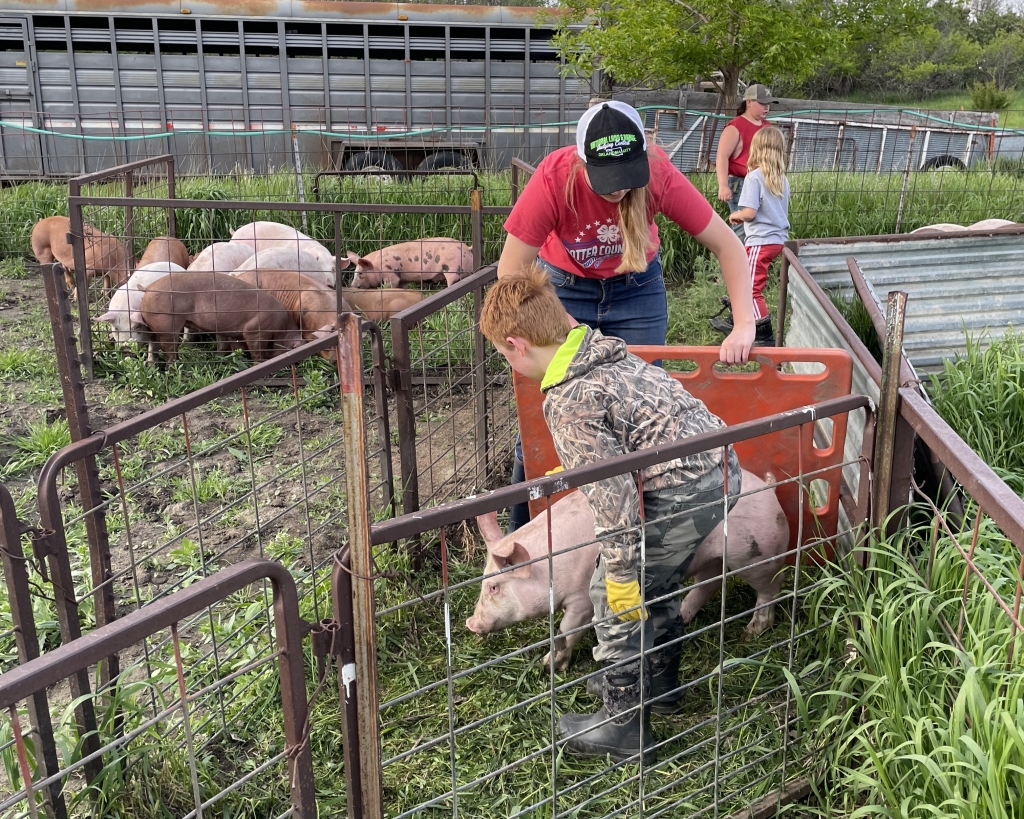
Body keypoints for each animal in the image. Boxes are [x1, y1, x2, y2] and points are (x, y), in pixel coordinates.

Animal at [140, 272, 301, 362]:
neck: (282, 327)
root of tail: (147, 289)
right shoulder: (255, 330)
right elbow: (256, 351)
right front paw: (258, 363)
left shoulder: (233, 332)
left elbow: (230, 345)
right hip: (166, 322)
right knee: (168, 347)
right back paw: (175, 366)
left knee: (155, 343)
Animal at [468, 470, 786, 667]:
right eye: (484, 583)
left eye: (495, 587)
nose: (471, 623)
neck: (551, 566)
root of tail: (771, 489)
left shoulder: (581, 599)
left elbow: (566, 630)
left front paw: (549, 666)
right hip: (712, 559)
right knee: (708, 584)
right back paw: (682, 617)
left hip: (757, 556)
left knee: (769, 590)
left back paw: (751, 632)